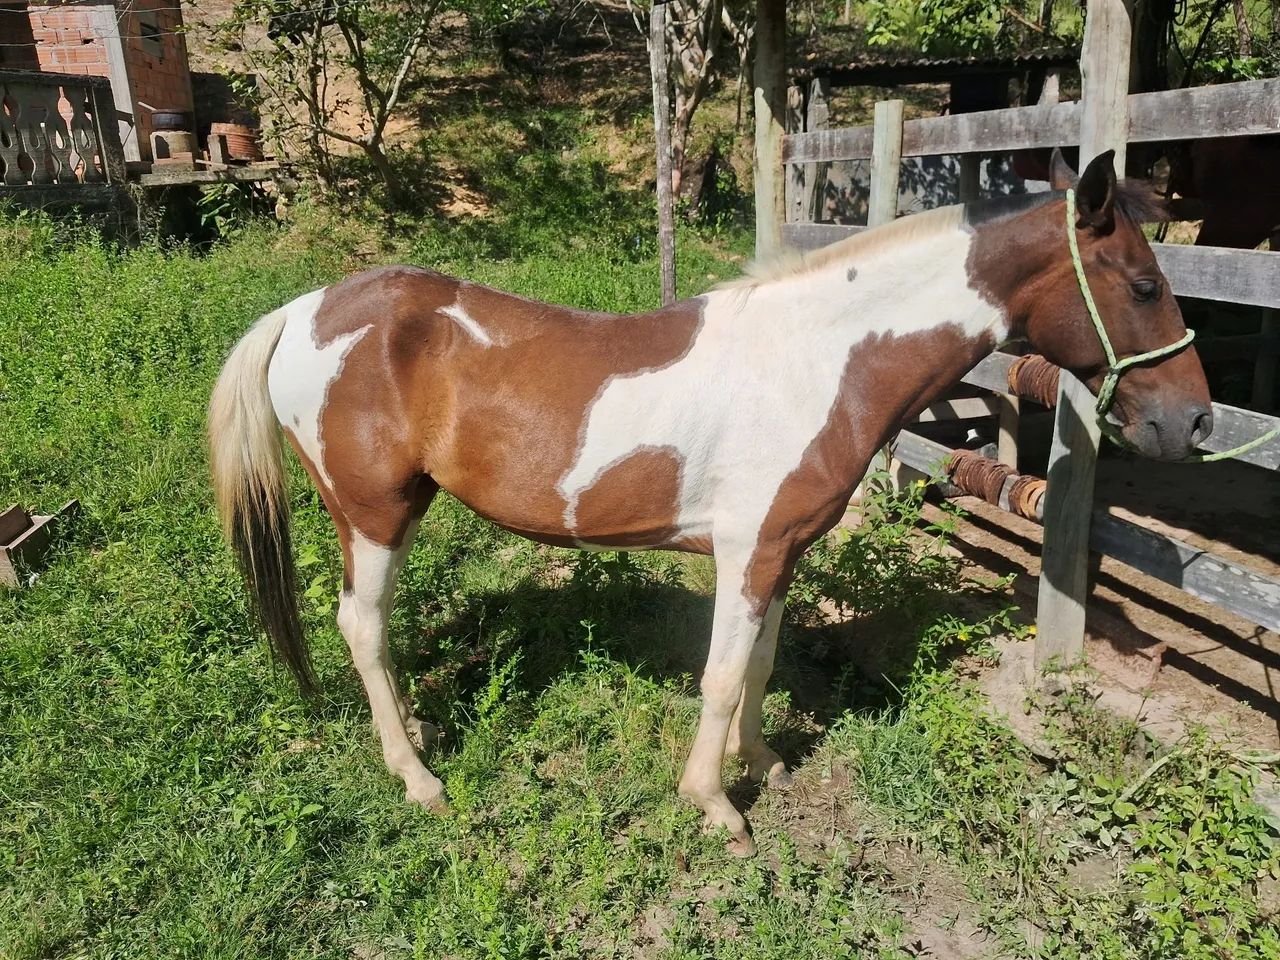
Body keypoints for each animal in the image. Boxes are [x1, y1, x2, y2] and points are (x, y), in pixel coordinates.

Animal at [209, 150, 1212, 856]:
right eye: (1143, 285)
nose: (1194, 422)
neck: (819, 358)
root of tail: (305, 310)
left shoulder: (783, 551)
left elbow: (760, 664)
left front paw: (759, 760)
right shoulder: (749, 549)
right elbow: (723, 675)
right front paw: (715, 805)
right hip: (374, 513)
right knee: (362, 625)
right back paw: (417, 777)